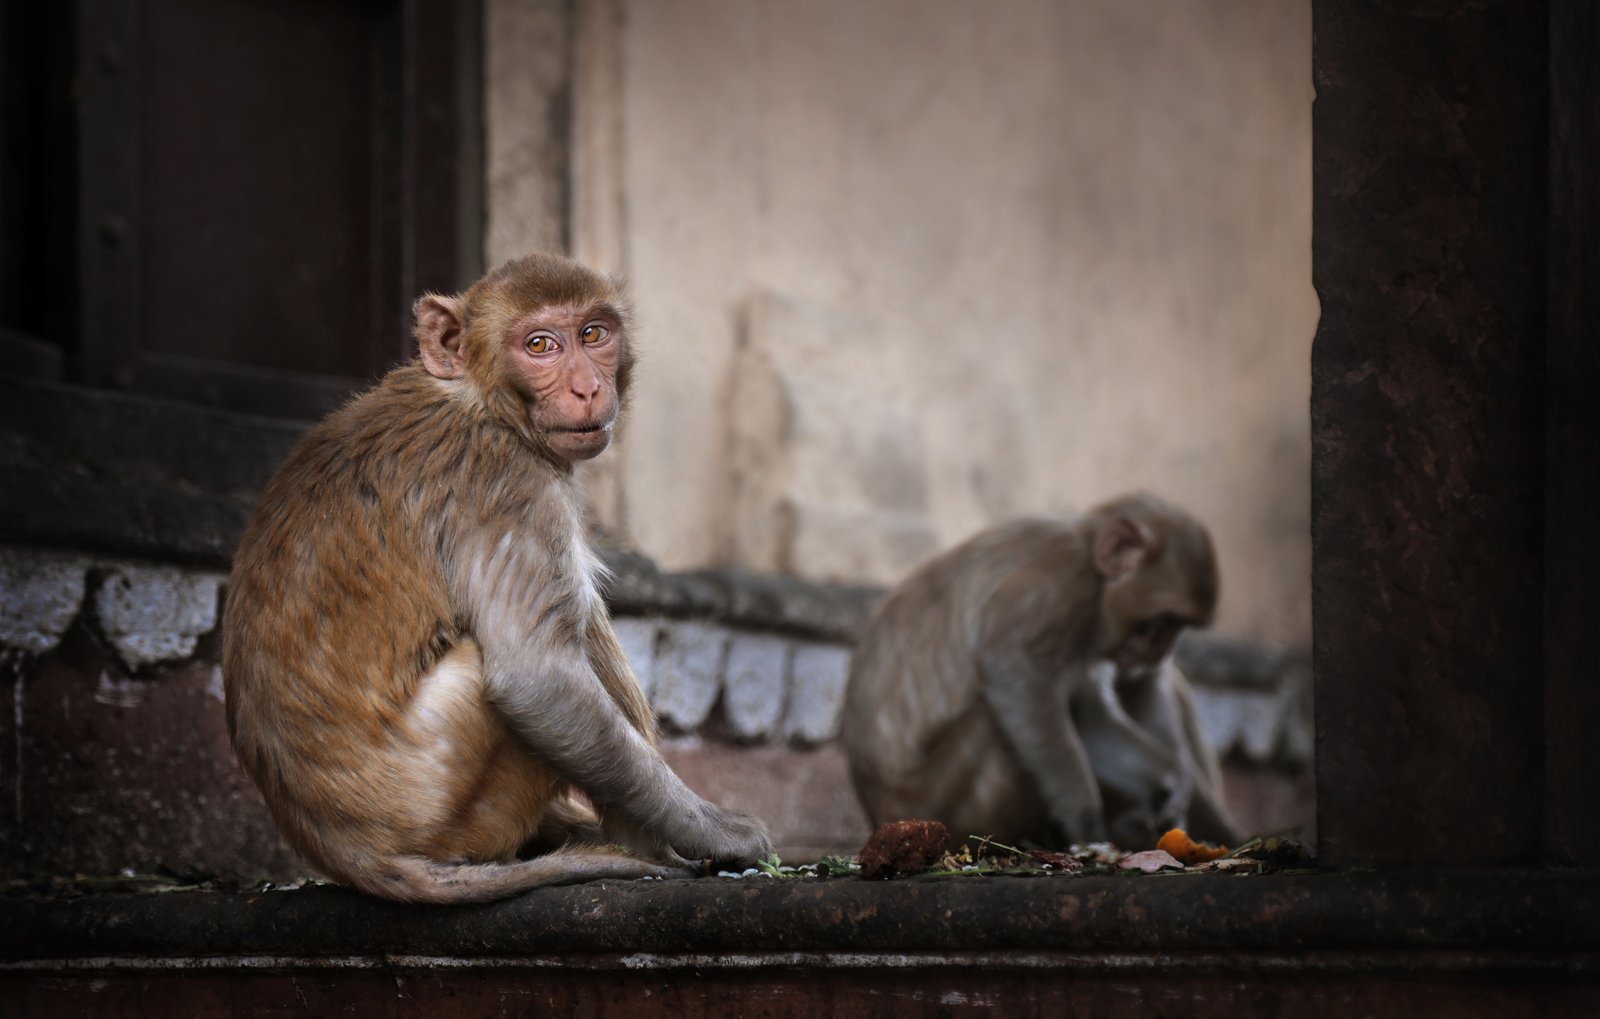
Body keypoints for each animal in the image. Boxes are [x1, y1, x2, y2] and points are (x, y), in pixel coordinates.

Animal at [222, 253, 771, 903]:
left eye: (593, 334)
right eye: (539, 345)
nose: (587, 387)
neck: (480, 400)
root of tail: (358, 856)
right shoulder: (510, 483)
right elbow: (536, 679)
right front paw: (718, 833)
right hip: (450, 802)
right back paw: (639, 846)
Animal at [840, 492, 1241, 849]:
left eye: (1179, 626)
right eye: (1162, 622)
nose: (1163, 649)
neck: (1089, 561)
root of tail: (878, 813)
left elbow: (1088, 716)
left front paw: (1171, 781)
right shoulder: (1057, 589)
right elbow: (1014, 670)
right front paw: (1083, 817)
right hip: (936, 801)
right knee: (993, 716)